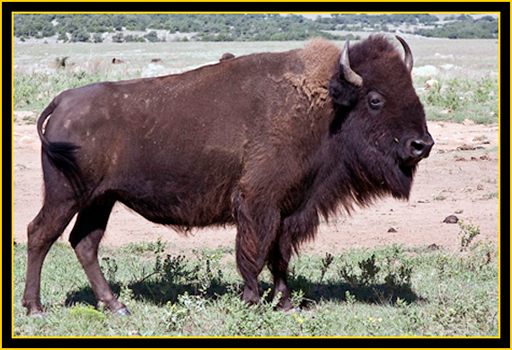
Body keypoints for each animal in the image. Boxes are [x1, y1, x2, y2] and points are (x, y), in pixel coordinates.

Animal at [24, 34, 432, 316]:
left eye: (411, 90)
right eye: (375, 99)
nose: (422, 144)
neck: (325, 106)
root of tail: (61, 101)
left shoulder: (289, 207)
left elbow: (279, 255)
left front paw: (284, 303)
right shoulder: (257, 203)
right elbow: (254, 252)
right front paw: (254, 301)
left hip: (100, 199)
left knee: (84, 242)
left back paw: (116, 306)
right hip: (66, 194)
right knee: (40, 234)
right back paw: (35, 308)